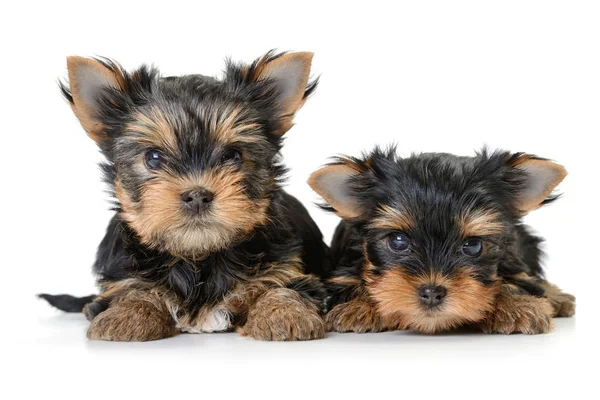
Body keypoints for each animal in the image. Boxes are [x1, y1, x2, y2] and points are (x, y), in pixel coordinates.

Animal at [41, 51, 332, 342]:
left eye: (233, 156)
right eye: (153, 157)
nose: (197, 196)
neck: (197, 257)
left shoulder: (286, 267)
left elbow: (283, 287)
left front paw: (285, 315)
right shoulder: (121, 277)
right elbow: (132, 290)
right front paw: (126, 316)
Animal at [312, 147, 576, 334]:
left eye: (473, 245)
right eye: (398, 241)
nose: (432, 292)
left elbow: (518, 279)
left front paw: (516, 306)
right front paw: (359, 306)